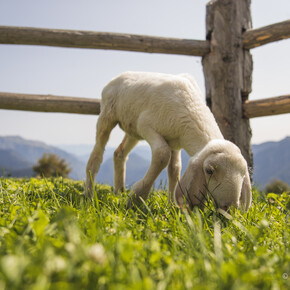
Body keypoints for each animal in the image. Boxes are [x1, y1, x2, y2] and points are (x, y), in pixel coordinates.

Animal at [85, 70, 251, 211]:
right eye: (209, 170)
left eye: (244, 174)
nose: (230, 208)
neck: (191, 107)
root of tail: (121, 75)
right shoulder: (146, 125)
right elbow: (162, 155)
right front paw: (136, 198)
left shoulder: (175, 141)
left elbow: (175, 169)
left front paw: (172, 204)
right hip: (108, 115)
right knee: (97, 154)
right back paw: (89, 193)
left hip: (133, 130)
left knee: (119, 153)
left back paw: (119, 191)